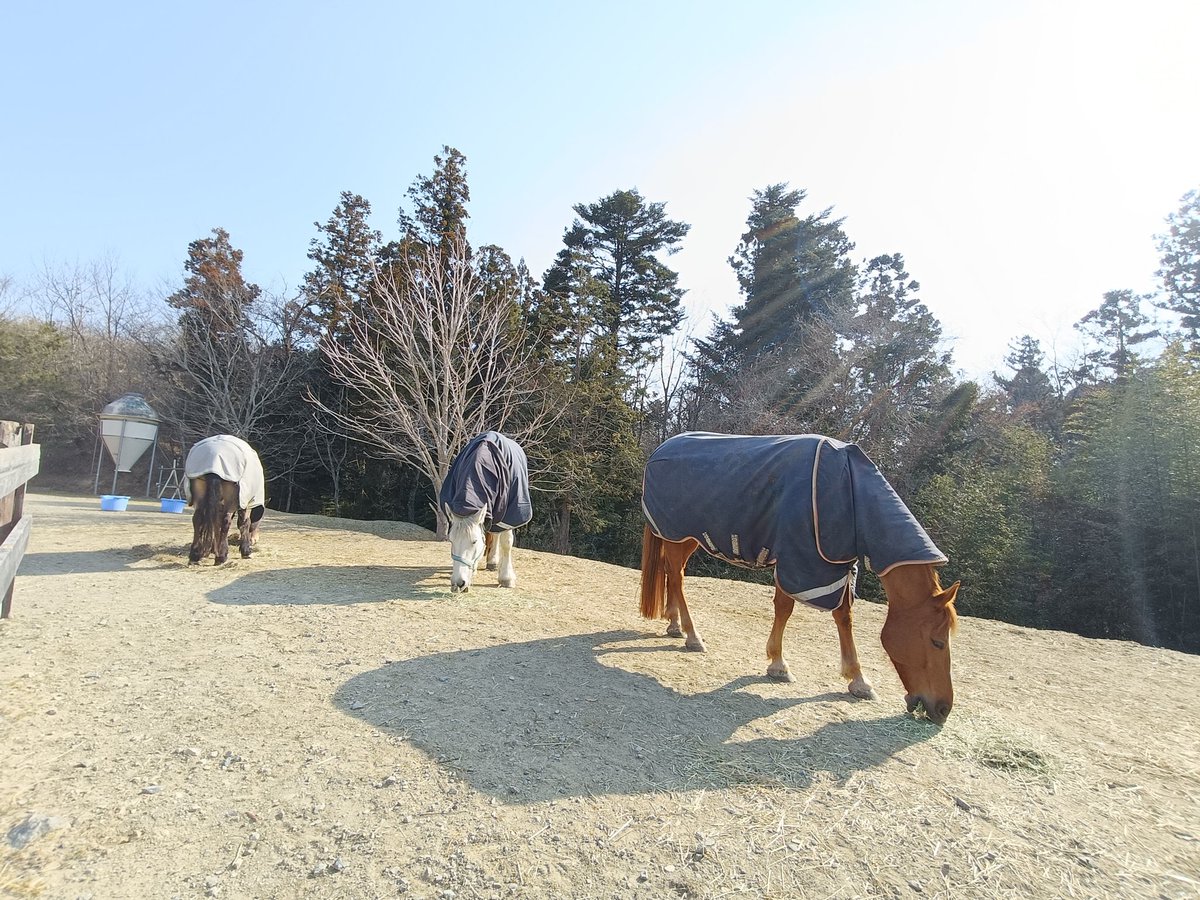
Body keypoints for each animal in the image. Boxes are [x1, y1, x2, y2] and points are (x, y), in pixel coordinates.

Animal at [184, 434, 266, 565]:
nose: (255, 540)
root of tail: (214, 460)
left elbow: (215, 523)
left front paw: (211, 550)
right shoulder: (245, 502)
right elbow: (244, 523)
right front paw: (246, 551)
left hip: (200, 495)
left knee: (198, 519)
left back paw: (195, 555)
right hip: (231, 500)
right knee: (225, 521)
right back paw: (221, 557)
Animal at [439, 431, 532, 593]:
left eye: (474, 541)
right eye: (451, 540)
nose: (458, 584)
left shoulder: (511, 513)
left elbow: (506, 543)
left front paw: (506, 578)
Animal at [639, 432, 960, 725]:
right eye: (937, 642)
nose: (943, 709)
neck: (849, 492)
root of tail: (661, 450)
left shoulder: (837, 567)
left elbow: (844, 617)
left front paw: (858, 680)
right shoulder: (797, 559)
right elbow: (786, 608)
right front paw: (779, 665)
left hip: (686, 537)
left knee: (672, 573)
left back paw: (674, 624)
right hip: (678, 535)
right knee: (677, 578)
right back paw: (693, 636)